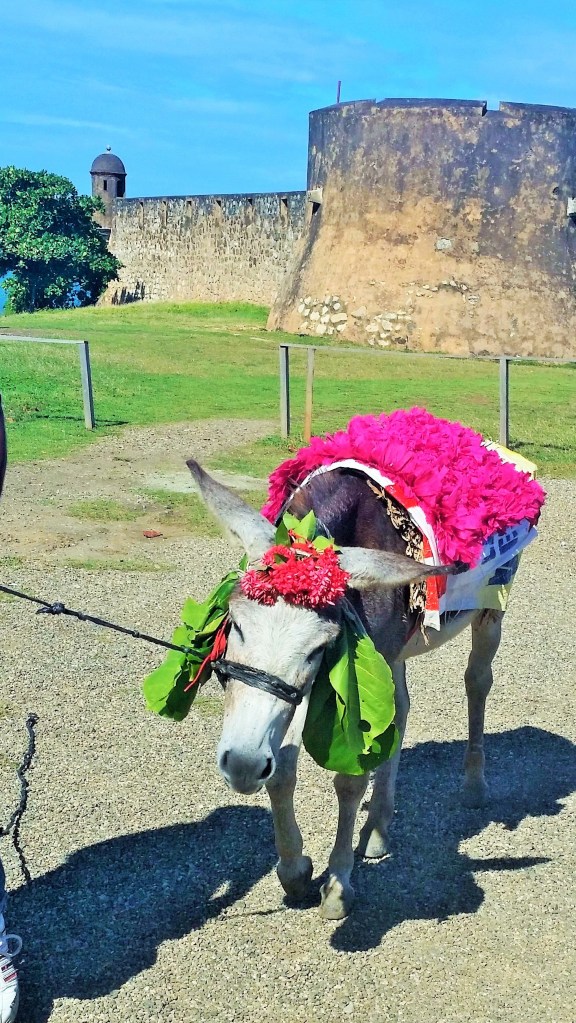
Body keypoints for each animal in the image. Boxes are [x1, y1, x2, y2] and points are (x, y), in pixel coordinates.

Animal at [186, 456, 509, 921]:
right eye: (235, 623)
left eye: (318, 647)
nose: (243, 765)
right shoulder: (314, 685)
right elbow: (282, 772)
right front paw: (295, 871)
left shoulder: (349, 667)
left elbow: (350, 782)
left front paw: (338, 886)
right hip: (392, 655)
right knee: (402, 709)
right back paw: (377, 828)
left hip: (491, 605)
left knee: (477, 681)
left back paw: (474, 786)